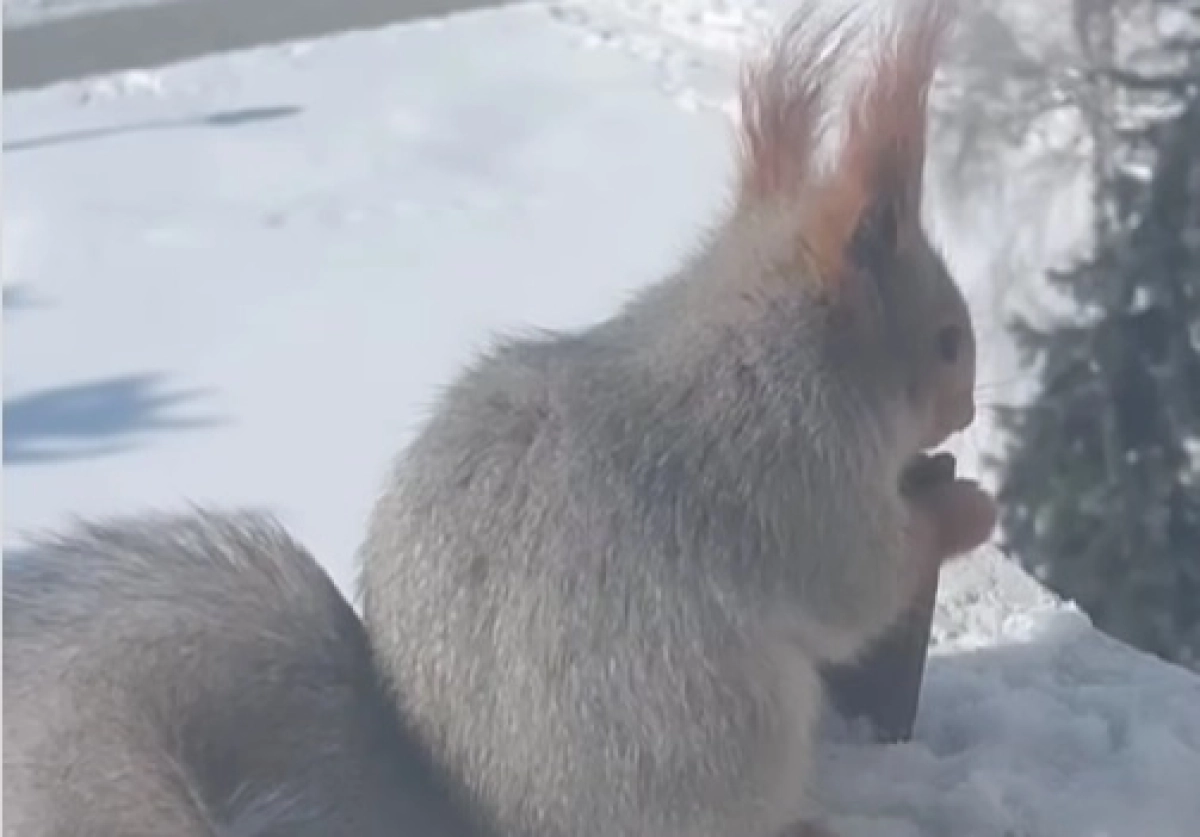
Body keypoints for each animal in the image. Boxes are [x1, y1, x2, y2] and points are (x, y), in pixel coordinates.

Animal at [0, 3, 993, 829]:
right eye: (947, 341)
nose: (973, 405)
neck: (765, 334)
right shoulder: (799, 472)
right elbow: (862, 584)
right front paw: (966, 510)